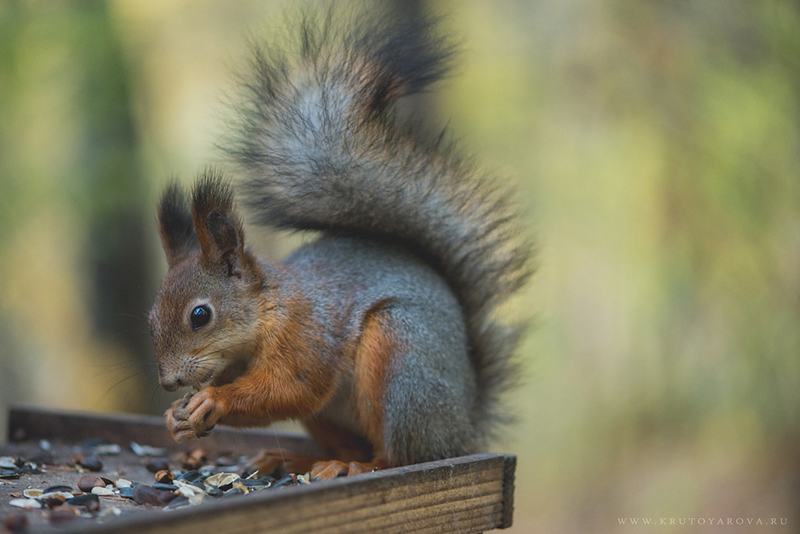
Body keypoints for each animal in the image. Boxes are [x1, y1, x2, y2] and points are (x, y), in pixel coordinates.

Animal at [147, 5, 532, 482]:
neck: (268, 309)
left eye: (200, 316)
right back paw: (296, 459)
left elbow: (291, 388)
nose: (168, 382)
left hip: (402, 362)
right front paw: (175, 417)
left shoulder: (308, 332)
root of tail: (463, 428)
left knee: (403, 455)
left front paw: (213, 400)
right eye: (150, 318)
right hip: (332, 416)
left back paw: (358, 466)